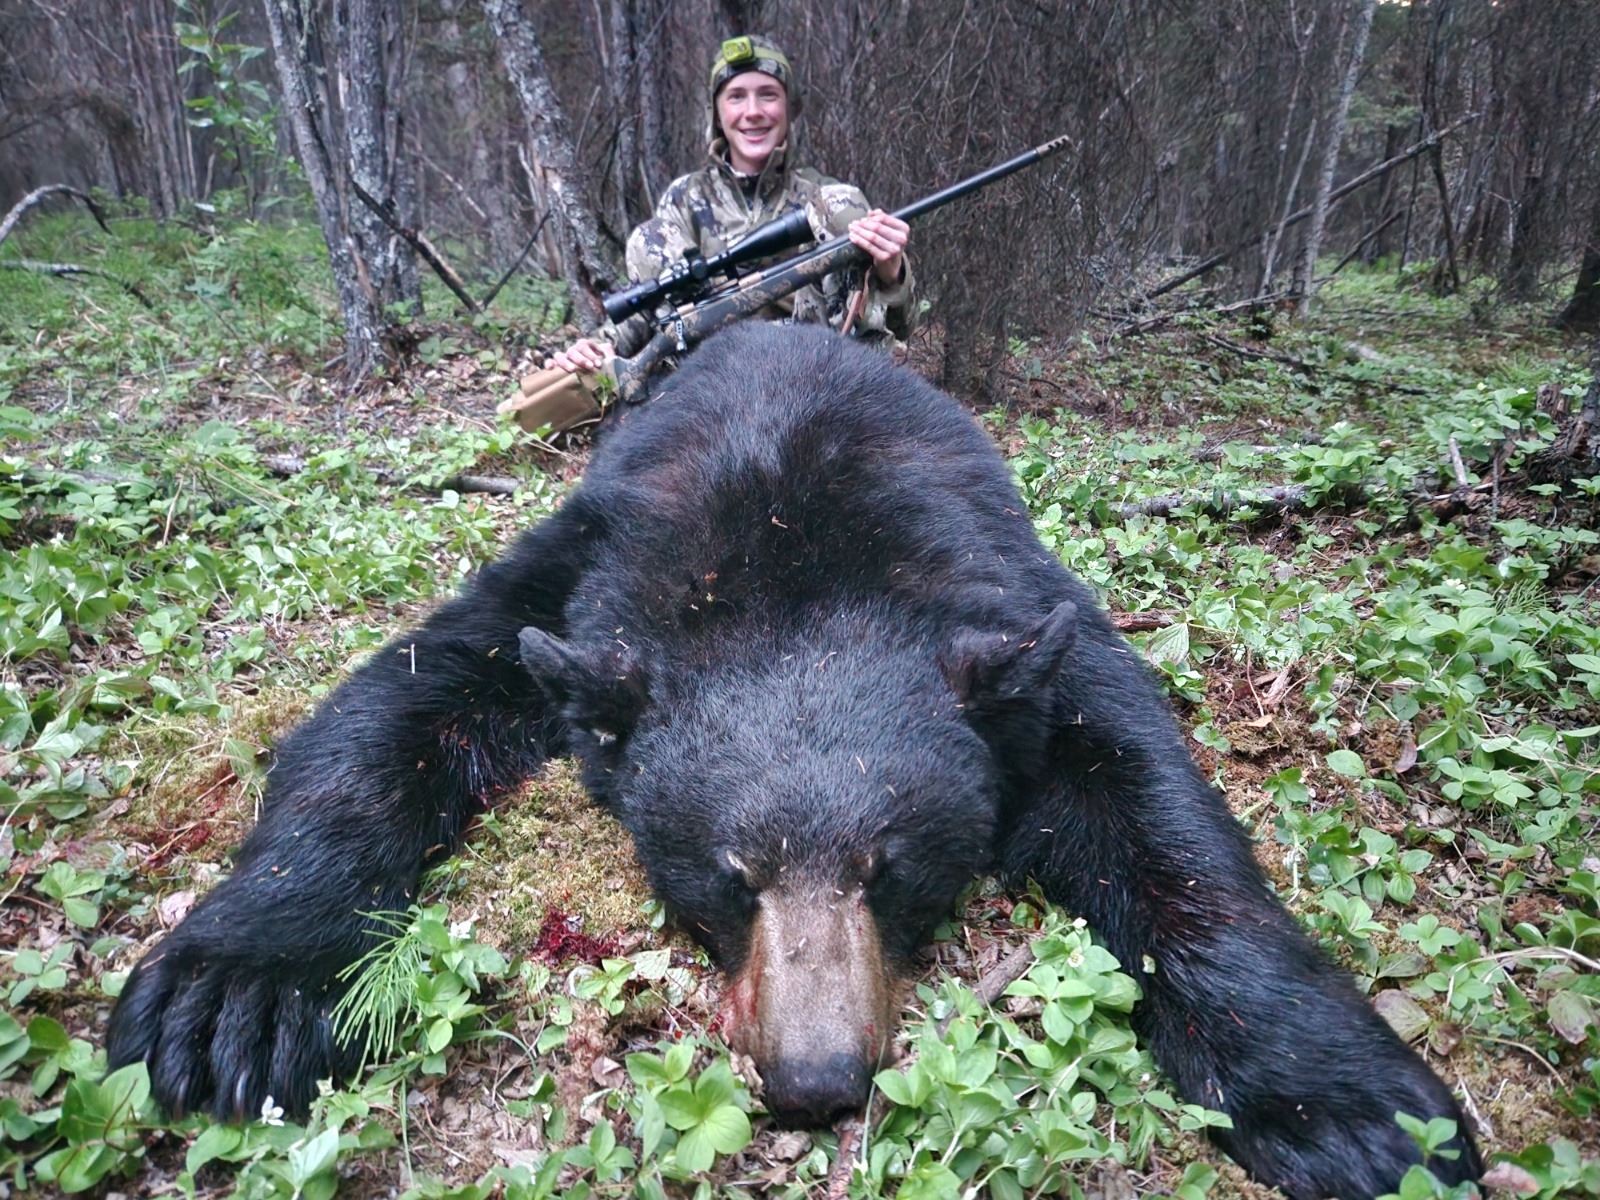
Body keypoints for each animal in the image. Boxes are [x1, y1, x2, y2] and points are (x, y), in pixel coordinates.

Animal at [108, 323, 1480, 1199]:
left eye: (892, 869)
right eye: (732, 875)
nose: (817, 1077)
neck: (791, 539)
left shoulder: (1012, 607)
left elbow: (1151, 799)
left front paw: (1351, 1109)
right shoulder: (583, 568)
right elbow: (397, 700)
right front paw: (232, 993)